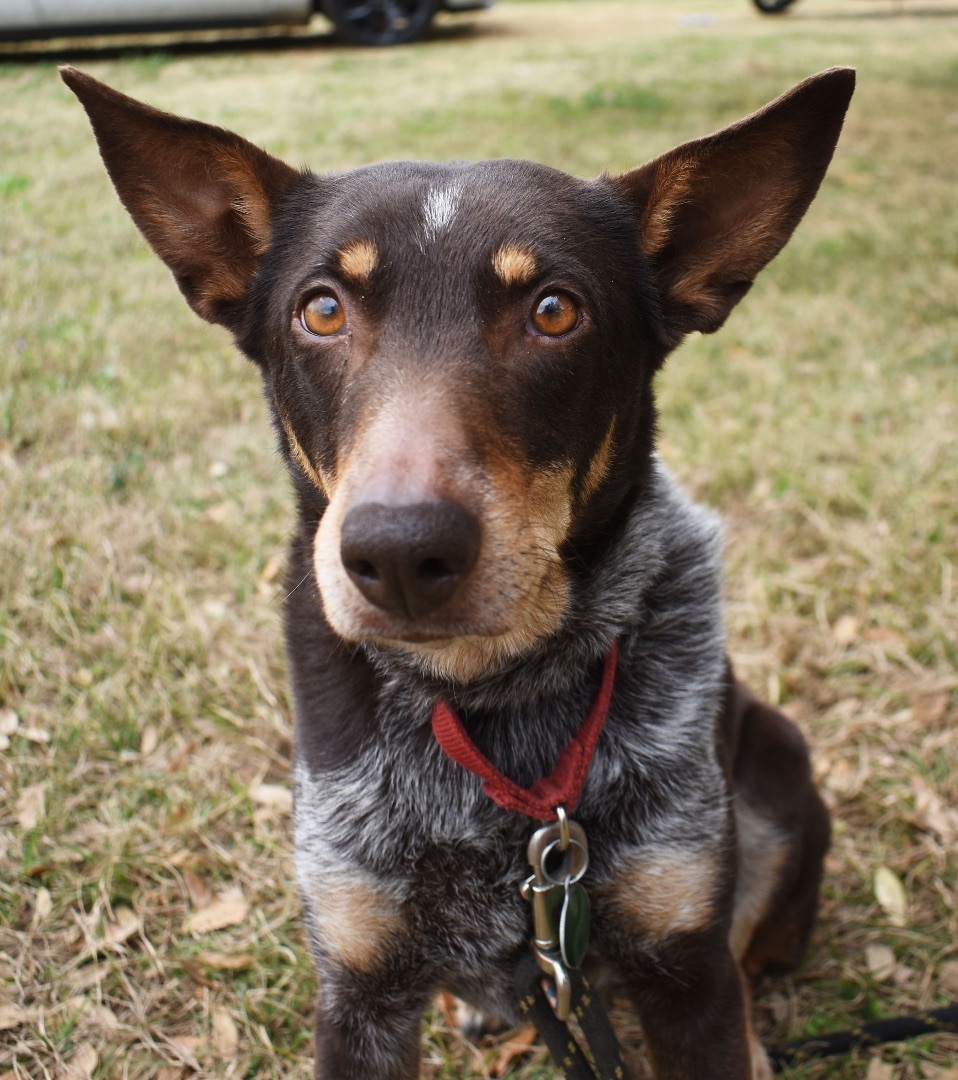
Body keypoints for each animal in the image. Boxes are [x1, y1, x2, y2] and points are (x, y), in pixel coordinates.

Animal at [63, 65, 859, 1071]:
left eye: (554, 310)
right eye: (322, 308)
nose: (401, 549)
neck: (485, 707)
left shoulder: (685, 965)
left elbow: (717, 971)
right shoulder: (358, 984)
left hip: (777, 768)